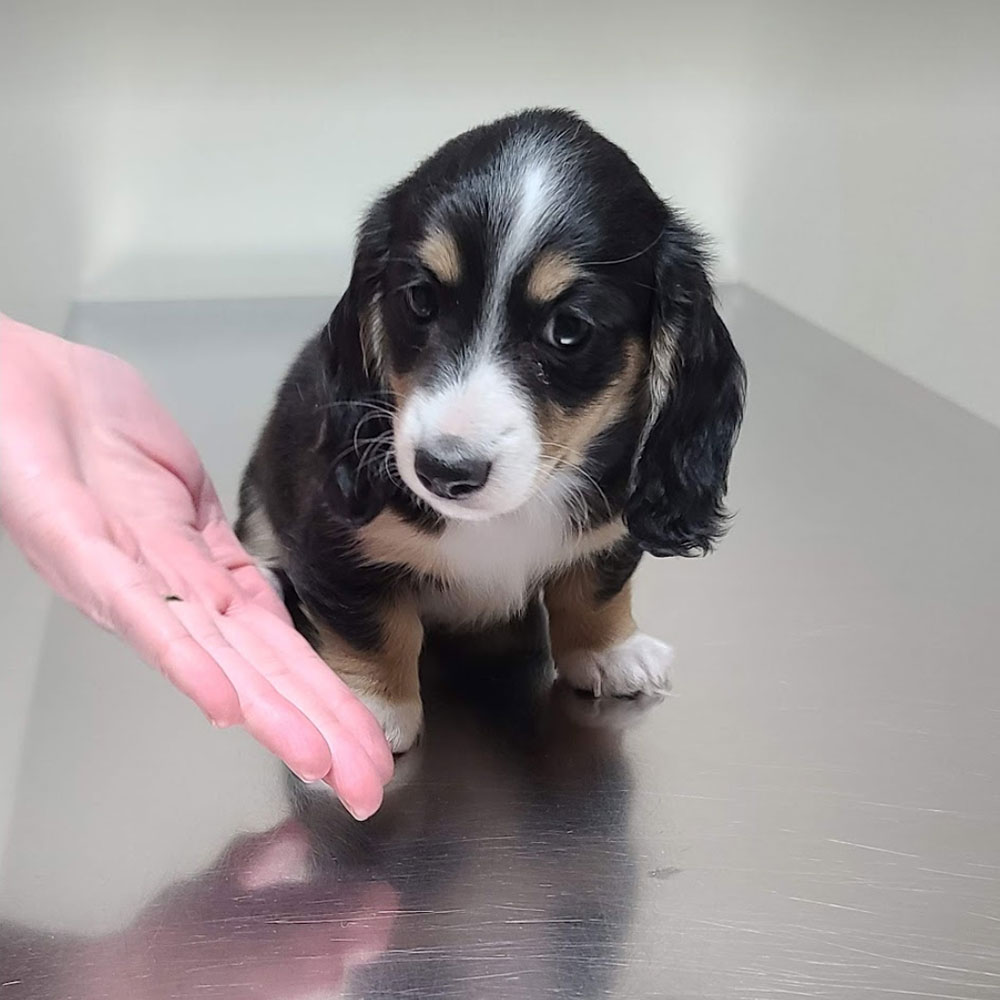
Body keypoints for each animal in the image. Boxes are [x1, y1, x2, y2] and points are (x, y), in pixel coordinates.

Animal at [238, 109, 748, 752]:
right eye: (420, 300)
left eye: (569, 329)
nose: (443, 472)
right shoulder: (332, 541)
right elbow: (373, 627)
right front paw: (371, 709)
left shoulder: (612, 528)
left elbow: (596, 589)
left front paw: (610, 652)